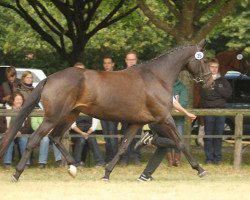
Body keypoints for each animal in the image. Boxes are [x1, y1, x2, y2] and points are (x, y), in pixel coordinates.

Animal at [0, 39, 214, 181]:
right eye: (204, 60)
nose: (210, 83)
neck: (156, 77)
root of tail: (49, 78)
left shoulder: (136, 122)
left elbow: (122, 147)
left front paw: (107, 173)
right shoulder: (165, 118)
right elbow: (180, 143)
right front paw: (201, 170)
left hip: (70, 114)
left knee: (56, 137)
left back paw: (73, 168)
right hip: (53, 117)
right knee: (35, 140)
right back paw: (17, 174)